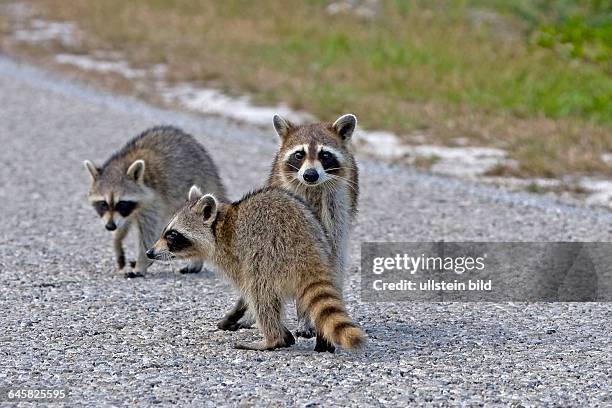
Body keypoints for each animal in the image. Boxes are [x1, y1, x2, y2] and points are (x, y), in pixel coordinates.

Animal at [81, 125, 225, 278]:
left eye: (122, 203)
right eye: (103, 204)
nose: (109, 226)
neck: (123, 163)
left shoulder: (153, 200)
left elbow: (148, 233)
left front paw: (141, 264)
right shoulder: (128, 212)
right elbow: (123, 224)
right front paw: (117, 243)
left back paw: (195, 261)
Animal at [147, 186, 368, 352]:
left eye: (172, 235)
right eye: (166, 231)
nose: (149, 252)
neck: (218, 225)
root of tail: (309, 251)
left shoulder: (234, 254)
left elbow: (247, 291)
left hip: (270, 255)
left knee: (259, 291)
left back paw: (272, 338)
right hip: (323, 245)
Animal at [218, 113, 358, 336]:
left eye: (325, 155)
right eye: (299, 154)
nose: (310, 175)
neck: (313, 188)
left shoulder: (338, 206)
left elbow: (331, 260)